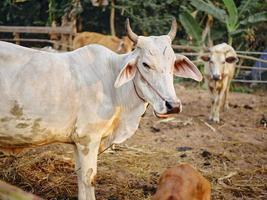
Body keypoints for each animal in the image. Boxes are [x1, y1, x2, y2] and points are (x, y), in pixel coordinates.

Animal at [0, 19, 202, 200]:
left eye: (172, 63)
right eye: (145, 64)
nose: (173, 106)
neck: (113, 84)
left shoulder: (78, 142)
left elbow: (80, 177)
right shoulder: (88, 138)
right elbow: (89, 179)